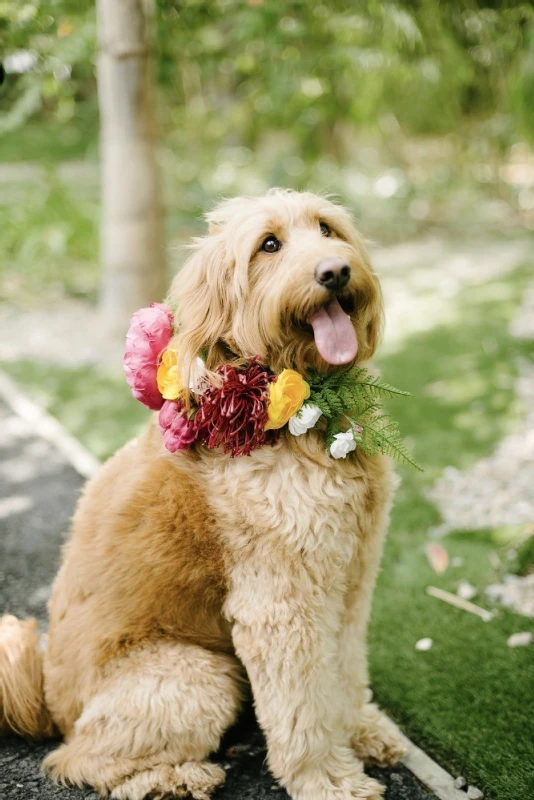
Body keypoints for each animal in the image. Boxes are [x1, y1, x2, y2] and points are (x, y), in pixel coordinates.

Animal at [0, 191, 406, 796]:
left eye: (327, 230)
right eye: (269, 245)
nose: (335, 271)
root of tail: (48, 702)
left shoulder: (351, 575)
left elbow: (346, 666)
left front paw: (361, 730)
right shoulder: (282, 604)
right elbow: (305, 706)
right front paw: (328, 780)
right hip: (198, 677)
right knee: (77, 760)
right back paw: (176, 776)